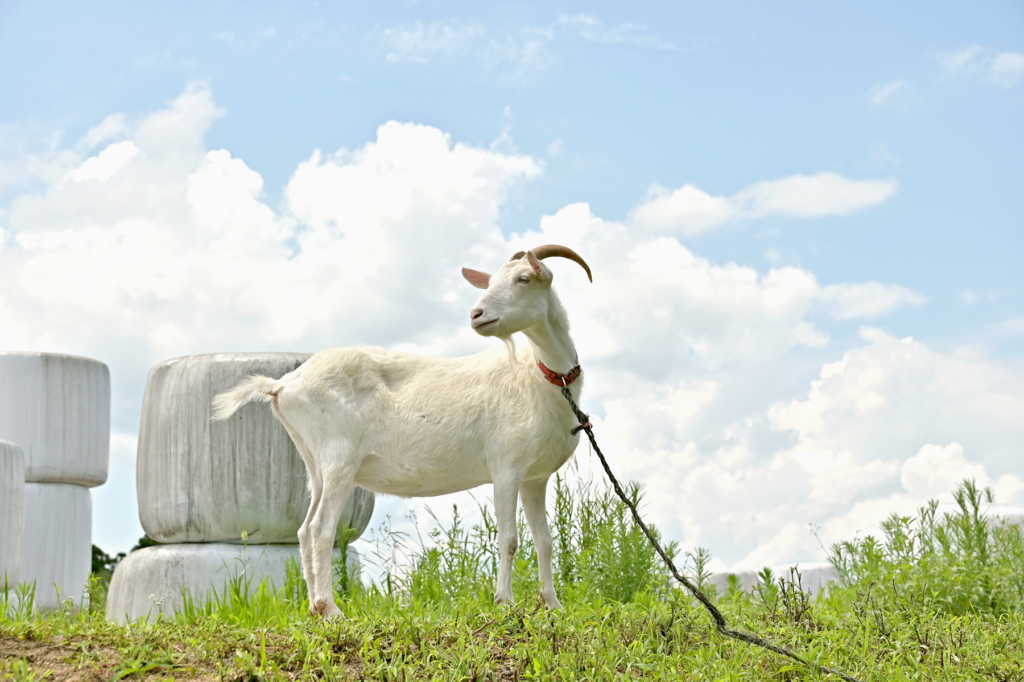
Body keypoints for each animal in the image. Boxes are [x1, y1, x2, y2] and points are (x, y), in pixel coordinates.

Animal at [209, 245, 593, 614]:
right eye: (493, 281)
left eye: (523, 278)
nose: (477, 315)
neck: (541, 376)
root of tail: (285, 384)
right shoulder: (506, 469)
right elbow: (509, 539)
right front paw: (505, 602)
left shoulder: (534, 478)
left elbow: (544, 542)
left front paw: (553, 605)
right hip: (339, 459)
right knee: (321, 529)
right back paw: (331, 609)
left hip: (315, 465)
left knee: (304, 530)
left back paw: (313, 608)